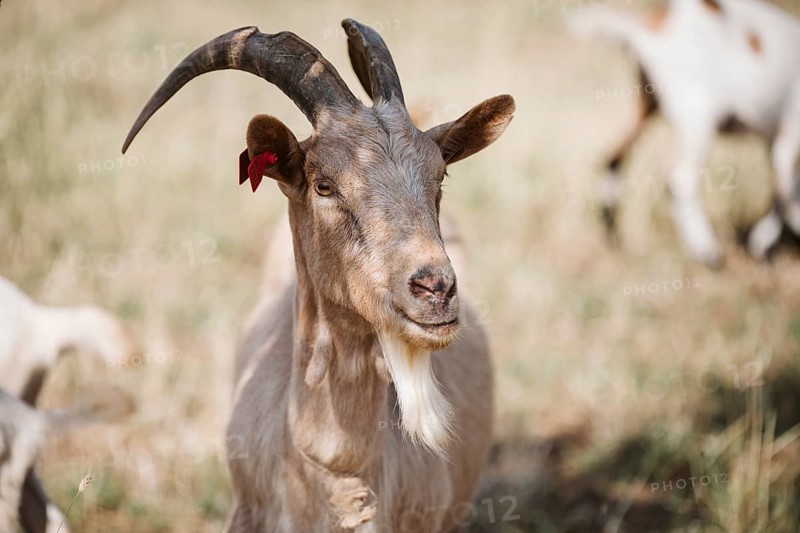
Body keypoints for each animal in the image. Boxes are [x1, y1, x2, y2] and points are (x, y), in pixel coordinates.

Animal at [570, 0, 800, 267]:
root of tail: (654, 25)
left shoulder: (775, 140)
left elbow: (786, 188)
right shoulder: (789, 132)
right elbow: (785, 191)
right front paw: (763, 243)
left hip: (648, 104)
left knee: (613, 156)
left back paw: (613, 234)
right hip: (697, 117)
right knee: (680, 178)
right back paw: (706, 248)